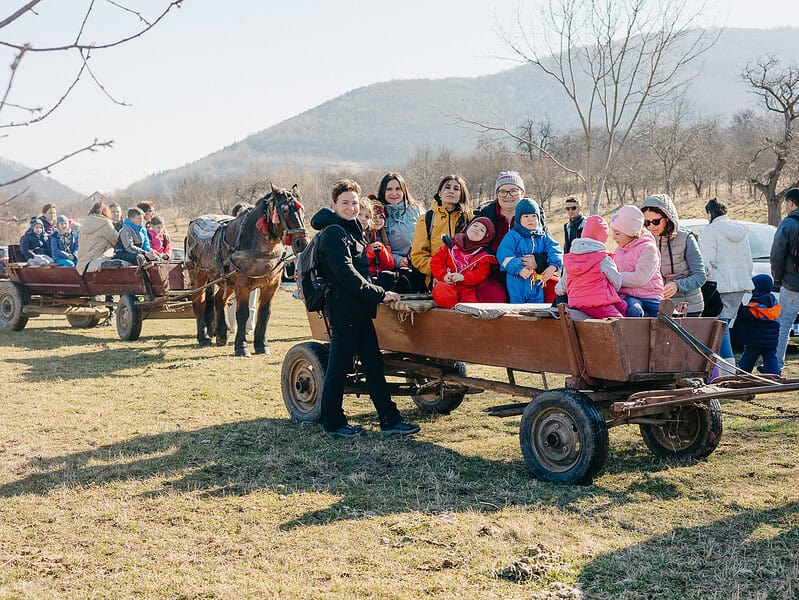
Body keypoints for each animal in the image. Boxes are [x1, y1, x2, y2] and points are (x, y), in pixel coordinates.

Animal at [188, 183, 310, 356]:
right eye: (285, 210)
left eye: (302, 209)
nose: (302, 243)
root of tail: (194, 222)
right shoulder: (242, 284)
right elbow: (242, 313)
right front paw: (241, 346)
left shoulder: (271, 285)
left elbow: (264, 313)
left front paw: (261, 344)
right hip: (199, 276)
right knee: (199, 302)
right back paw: (203, 337)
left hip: (227, 281)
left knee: (219, 300)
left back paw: (222, 335)